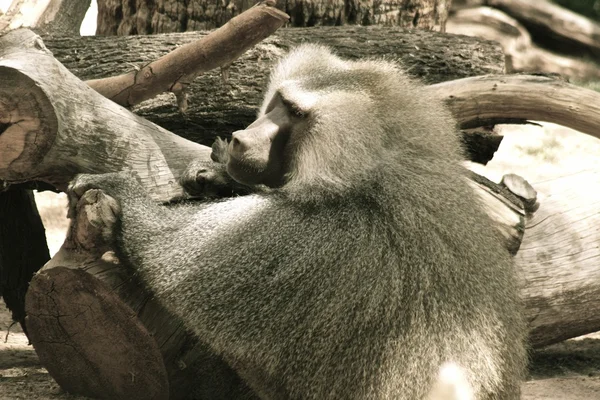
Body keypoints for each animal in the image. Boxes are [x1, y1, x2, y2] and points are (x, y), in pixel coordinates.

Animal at [69, 45, 524, 398]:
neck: (374, 169)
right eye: (279, 103)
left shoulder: (291, 242)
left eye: (296, 114)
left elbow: (163, 245)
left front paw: (115, 185)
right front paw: (212, 175)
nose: (240, 139)